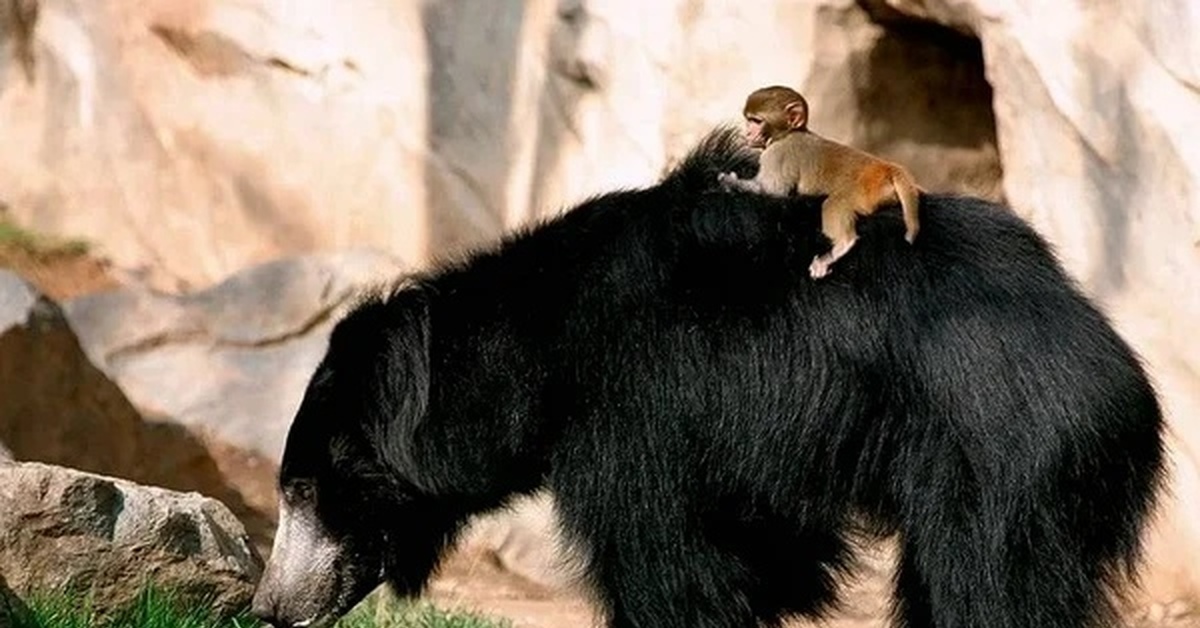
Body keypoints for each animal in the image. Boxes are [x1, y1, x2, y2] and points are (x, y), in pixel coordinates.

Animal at [250, 129, 1161, 628]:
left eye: (305, 490)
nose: (269, 607)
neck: (537, 349)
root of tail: (1107, 352)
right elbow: (762, 555)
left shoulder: (640, 414)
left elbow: (670, 564)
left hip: (1005, 455)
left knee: (989, 584)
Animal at [715, 85, 921, 279]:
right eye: (748, 119)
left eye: (757, 121)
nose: (748, 133)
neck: (788, 133)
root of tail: (888, 168)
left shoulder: (776, 155)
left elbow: (773, 191)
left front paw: (729, 182)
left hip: (864, 192)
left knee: (834, 204)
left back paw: (842, 245)